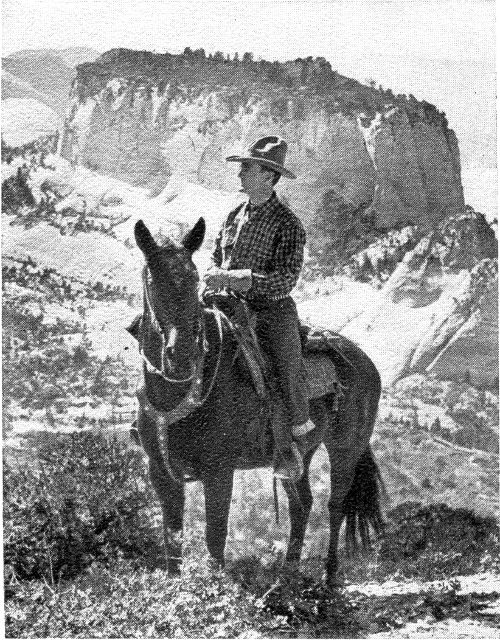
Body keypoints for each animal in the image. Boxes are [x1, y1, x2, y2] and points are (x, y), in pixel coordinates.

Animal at [132, 217, 384, 585]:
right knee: (301, 504)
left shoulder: (219, 470)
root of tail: (364, 361)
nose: (181, 354)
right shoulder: (160, 472)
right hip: (298, 454)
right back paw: (289, 572)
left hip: (345, 449)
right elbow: (172, 541)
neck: (179, 391)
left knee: (334, 506)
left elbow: (215, 535)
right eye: (153, 280)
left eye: (193, 279)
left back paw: (329, 576)